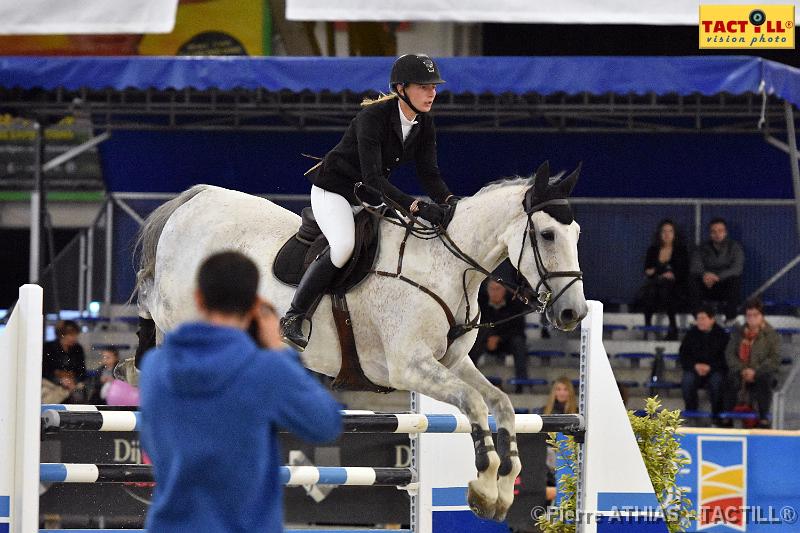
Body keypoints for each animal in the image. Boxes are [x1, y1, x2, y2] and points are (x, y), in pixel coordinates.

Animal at [131, 162, 588, 520]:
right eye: (547, 235)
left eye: (578, 233)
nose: (574, 314)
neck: (447, 265)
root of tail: (195, 200)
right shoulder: (410, 366)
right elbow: (475, 404)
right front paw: (482, 485)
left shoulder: (452, 363)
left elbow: (502, 404)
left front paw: (500, 490)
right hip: (177, 309)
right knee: (152, 308)